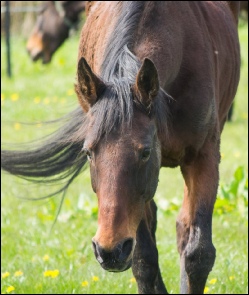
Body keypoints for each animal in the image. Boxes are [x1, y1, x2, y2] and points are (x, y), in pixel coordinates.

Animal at [0, 1, 240, 294]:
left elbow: (198, 253)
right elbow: (144, 260)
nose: (109, 251)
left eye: (145, 152)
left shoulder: (203, 157)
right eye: (88, 153)